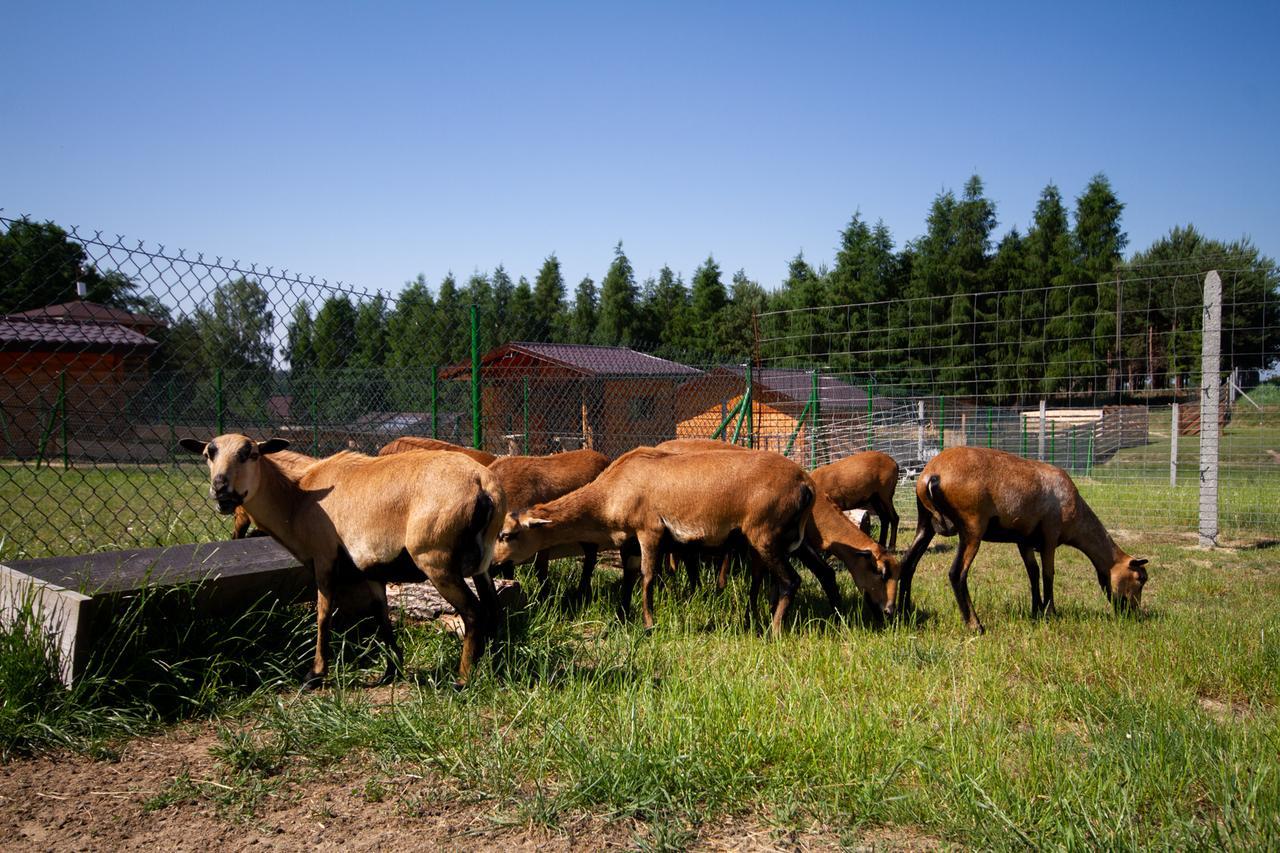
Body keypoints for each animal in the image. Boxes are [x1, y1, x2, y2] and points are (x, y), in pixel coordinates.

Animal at [179, 432, 504, 686]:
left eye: (251, 453)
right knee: (494, 608)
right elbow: (381, 617)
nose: (221, 489)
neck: (297, 498)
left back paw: (463, 680)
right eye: (209, 453)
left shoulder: (324, 558)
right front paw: (390, 672)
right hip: (482, 562)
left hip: (435, 559)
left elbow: (323, 615)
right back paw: (498, 668)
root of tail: (484, 483)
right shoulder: (371, 569)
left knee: (473, 612)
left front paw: (314, 675)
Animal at [488, 445, 808, 630]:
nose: (491, 564)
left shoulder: (650, 531)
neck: (608, 495)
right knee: (760, 579)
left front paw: (648, 624)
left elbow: (648, 576)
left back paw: (774, 630)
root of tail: (805, 483)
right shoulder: (629, 540)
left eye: (506, 534)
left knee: (791, 580)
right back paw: (750, 620)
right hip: (760, 541)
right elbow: (629, 577)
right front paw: (620, 617)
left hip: (766, 535)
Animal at [890, 445, 1152, 630]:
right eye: (1140, 578)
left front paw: (1036, 611)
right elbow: (1048, 573)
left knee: (908, 563)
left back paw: (905, 612)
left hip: (926, 523)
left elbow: (1032, 572)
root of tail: (931, 475)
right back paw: (975, 625)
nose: (1134, 614)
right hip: (972, 525)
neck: (1077, 517)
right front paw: (1051, 613)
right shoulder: (1050, 535)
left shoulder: (1024, 540)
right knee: (957, 573)